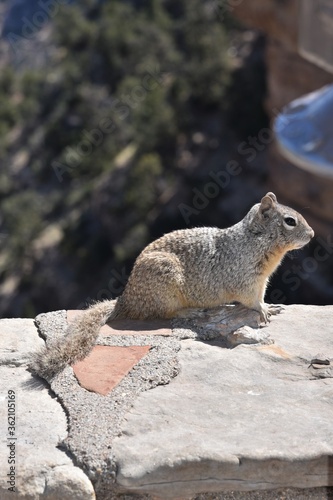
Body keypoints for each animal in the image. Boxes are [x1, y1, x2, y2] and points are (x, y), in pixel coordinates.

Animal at [29, 193, 312, 376]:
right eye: (290, 220)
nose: (312, 235)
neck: (256, 240)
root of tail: (125, 301)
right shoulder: (246, 279)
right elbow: (251, 300)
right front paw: (263, 310)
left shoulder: (262, 280)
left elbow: (261, 296)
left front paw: (270, 306)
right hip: (164, 284)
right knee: (163, 313)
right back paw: (191, 311)